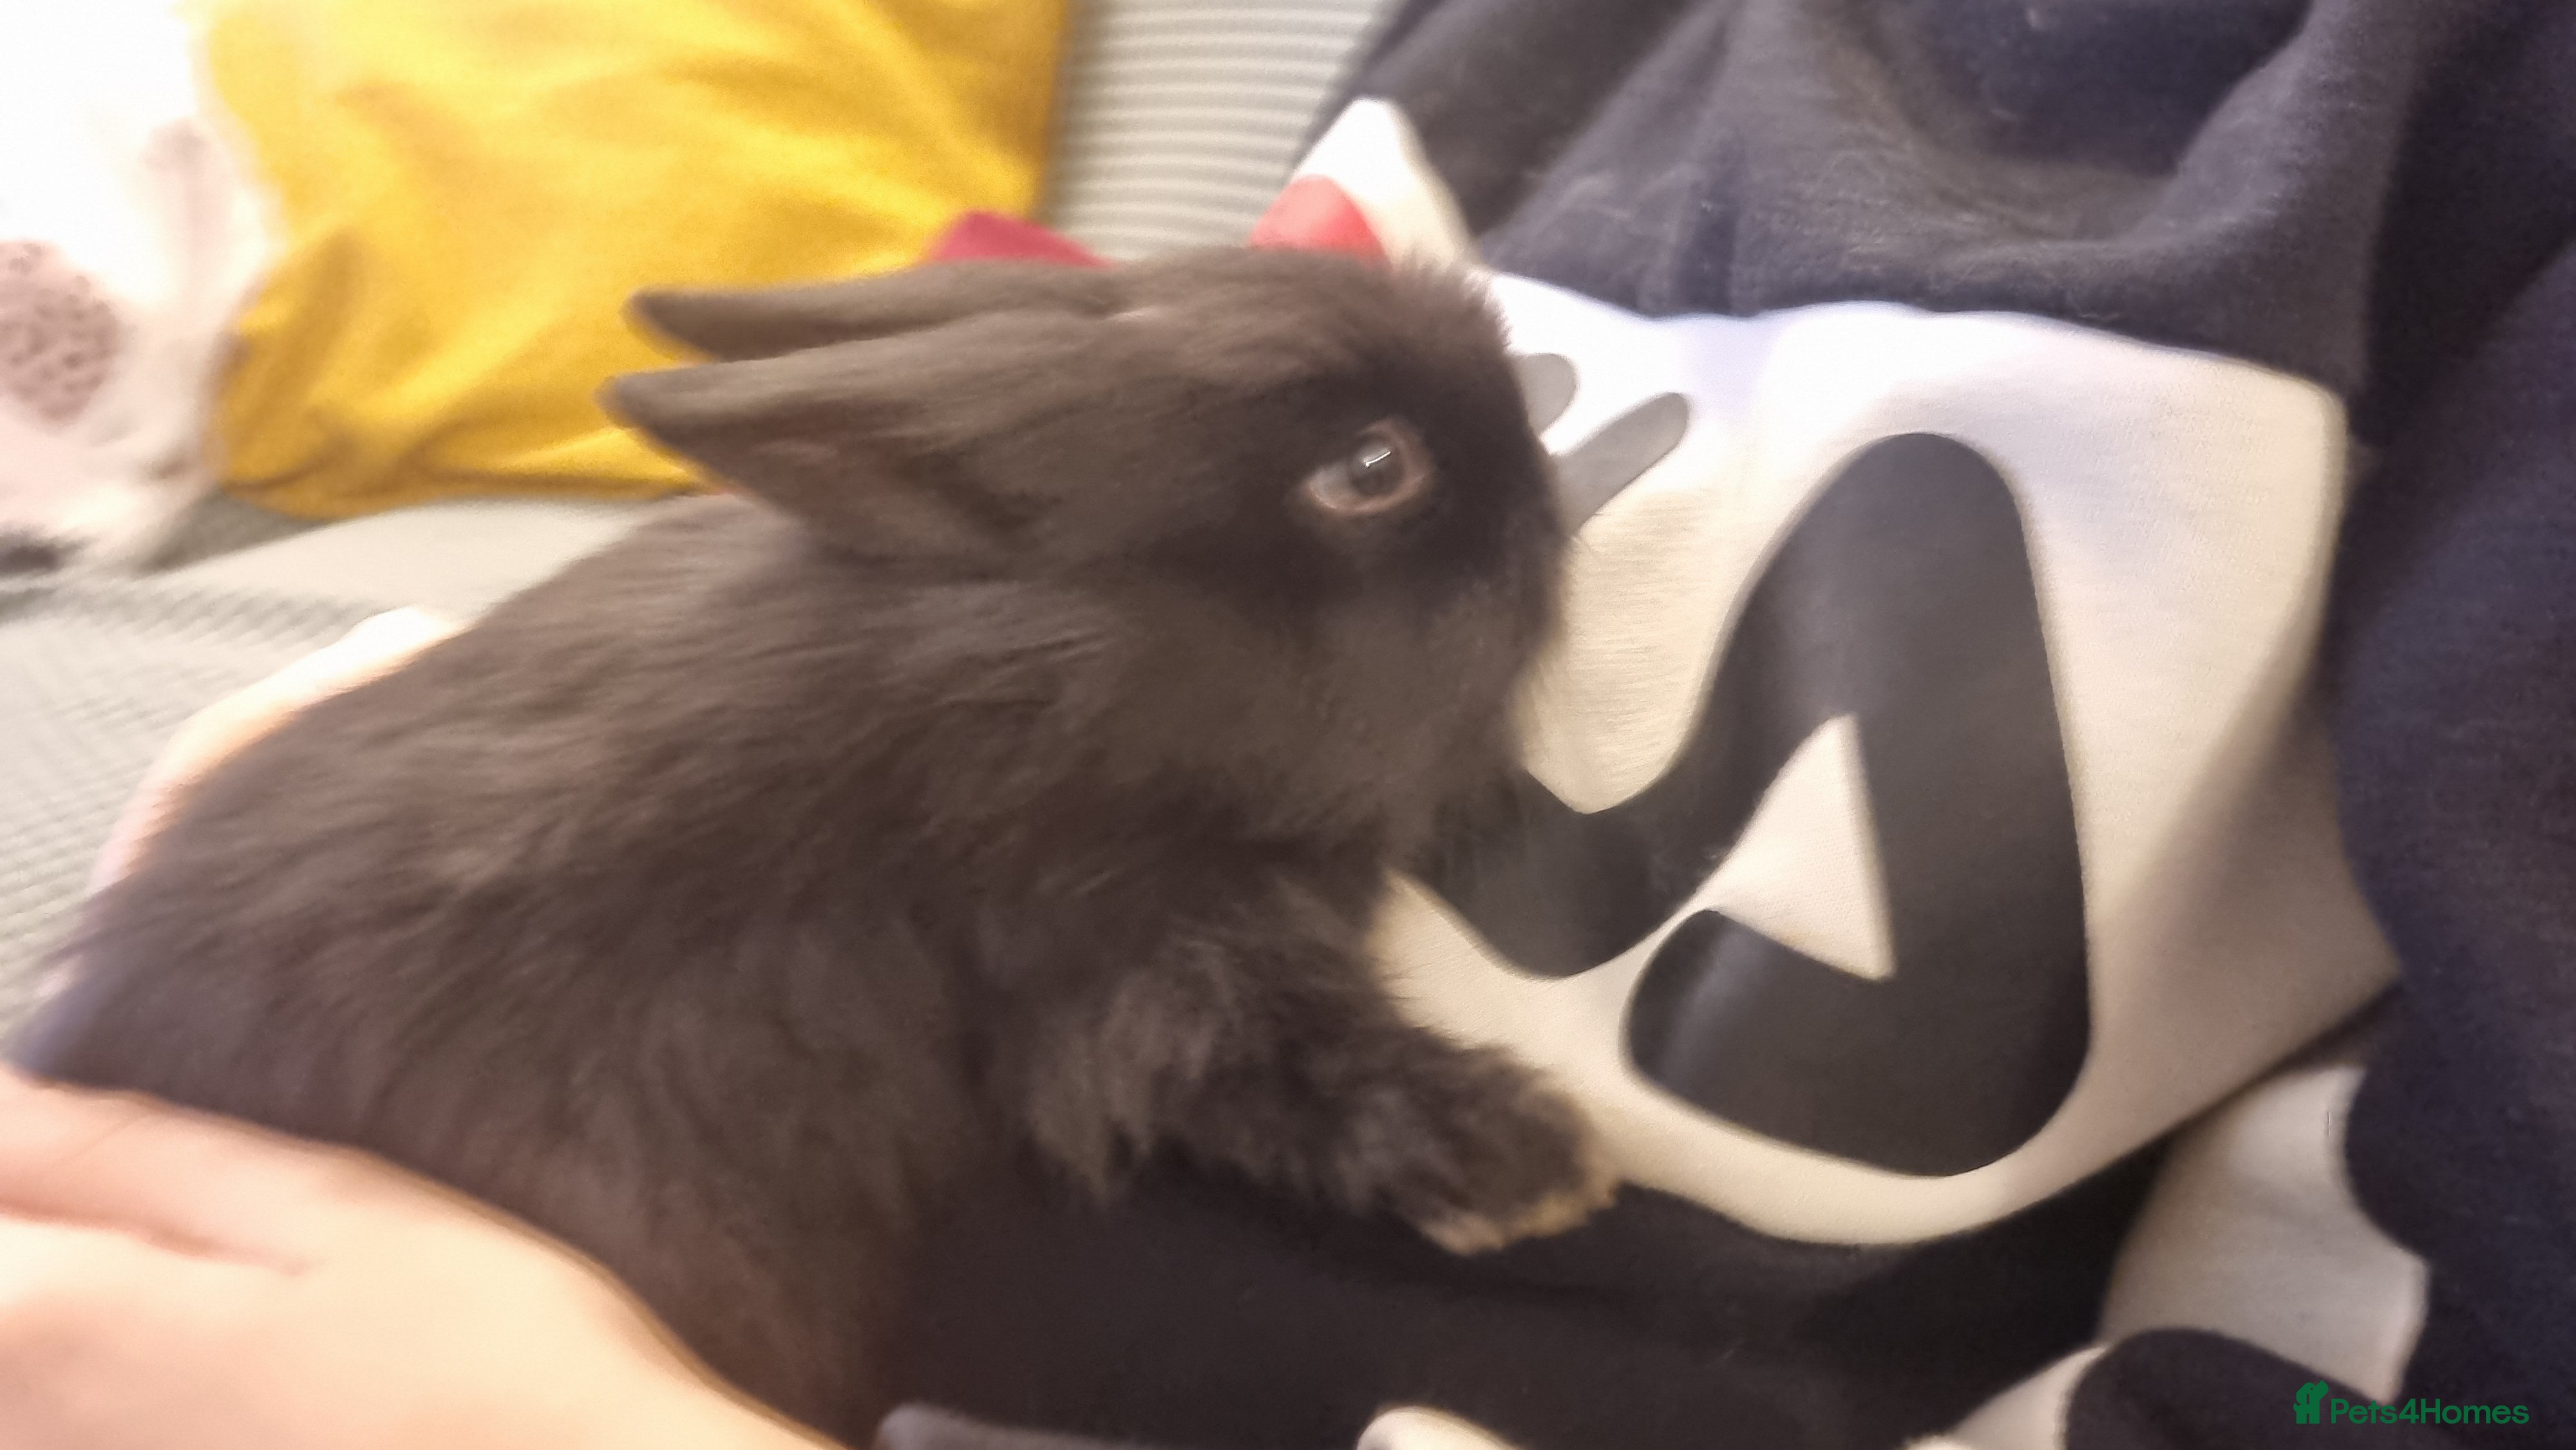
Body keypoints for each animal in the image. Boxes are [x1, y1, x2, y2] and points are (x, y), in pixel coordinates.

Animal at [12, 246, 1613, 1443]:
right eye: (1370, 468)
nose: (1547, 493)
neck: (1061, 663)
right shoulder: (1119, 946)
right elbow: (1287, 1060)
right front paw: (1533, 1166)